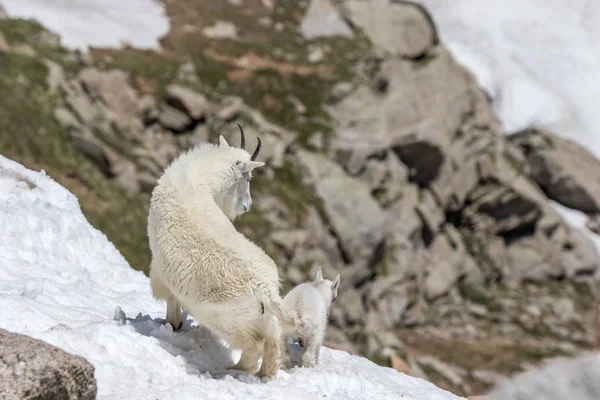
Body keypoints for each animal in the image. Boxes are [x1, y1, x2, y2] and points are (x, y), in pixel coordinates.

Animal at [145, 125, 286, 378]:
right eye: (248, 178)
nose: (247, 206)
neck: (199, 180)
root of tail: (266, 290)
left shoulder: (161, 268)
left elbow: (171, 299)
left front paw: (173, 324)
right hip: (264, 318)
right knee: (272, 342)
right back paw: (263, 374)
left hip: (226, 319)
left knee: (253, 345)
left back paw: (232, 369)